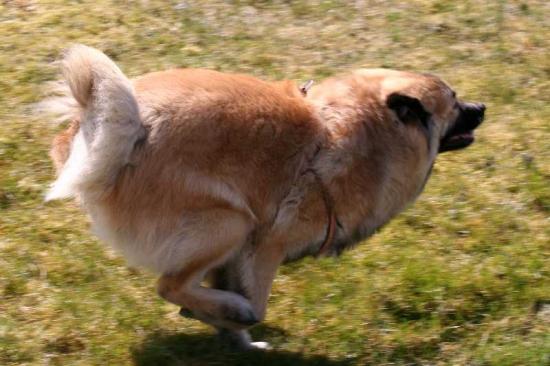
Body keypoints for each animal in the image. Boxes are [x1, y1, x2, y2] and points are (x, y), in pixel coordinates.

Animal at [46, 45, 488, 348]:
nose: (483, 106)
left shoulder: (239, 258)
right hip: (232, 223)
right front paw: (232, 315)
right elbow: (254, 305)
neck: (369, 132)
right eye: (454, 101)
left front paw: (228, 331)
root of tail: (126, 131)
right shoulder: (265, 244)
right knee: (168, 284)